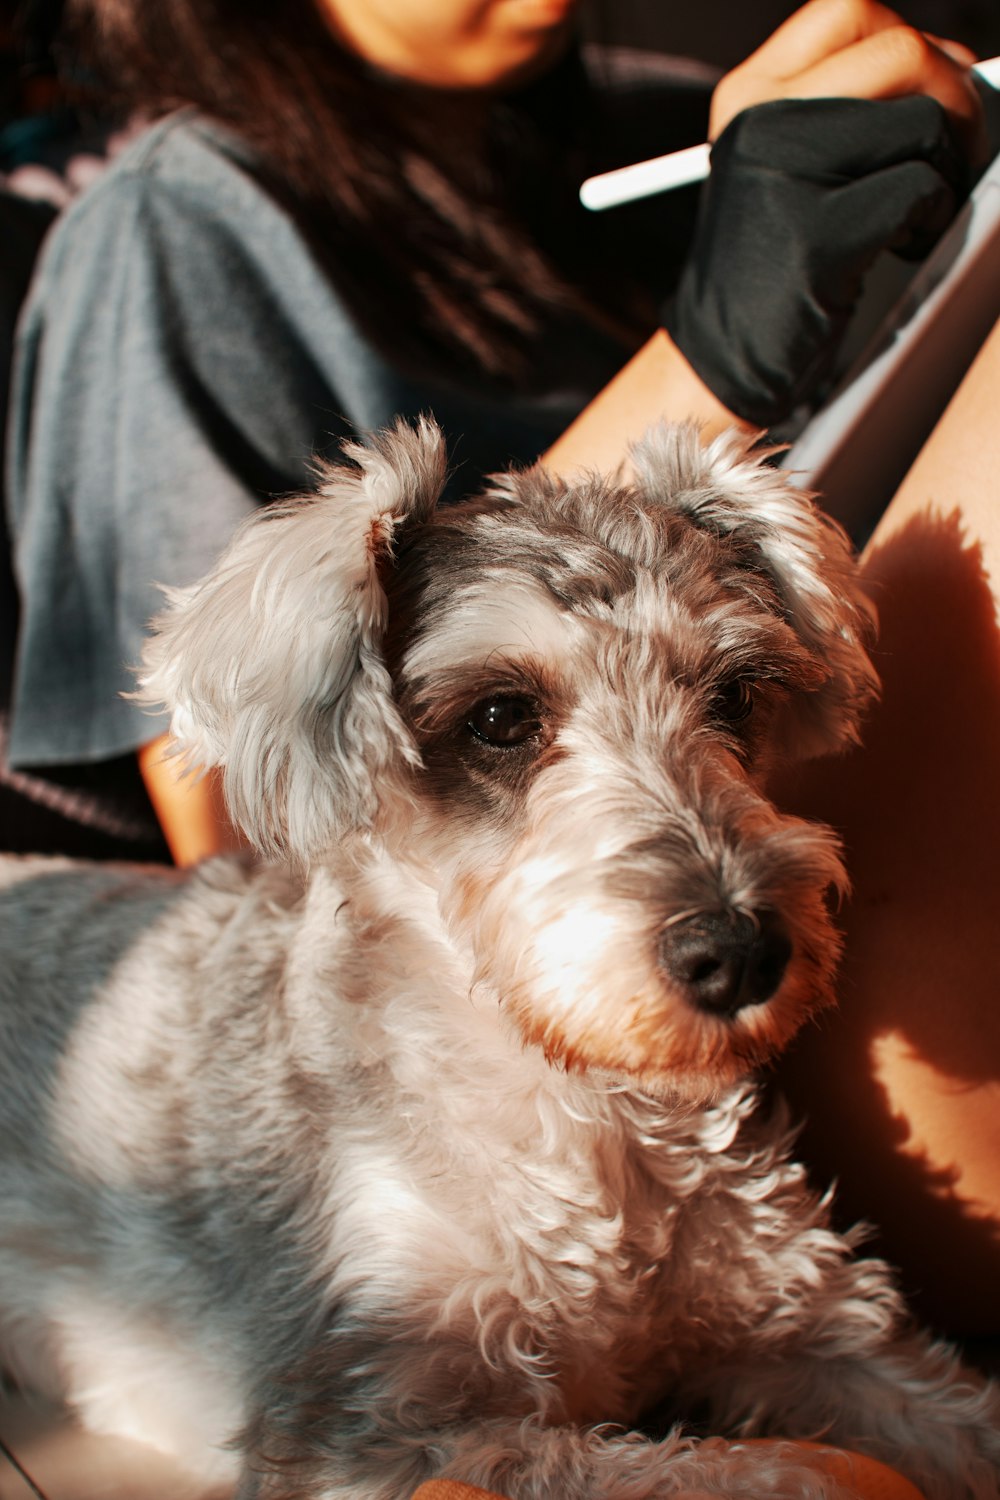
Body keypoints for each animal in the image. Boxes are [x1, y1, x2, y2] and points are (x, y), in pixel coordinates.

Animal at [1, 420, 1000, 1500]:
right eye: (499, 717)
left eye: (735, 695)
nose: (740, 952)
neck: (588, 1118)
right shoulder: (364, 1422)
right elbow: (757, 1475)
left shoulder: (813, 1318)